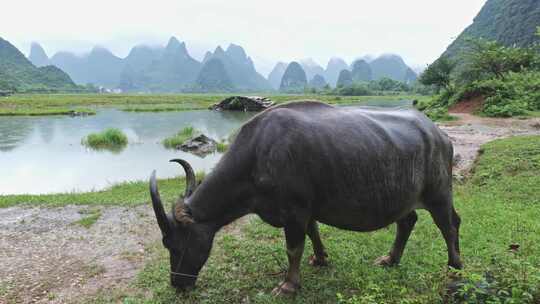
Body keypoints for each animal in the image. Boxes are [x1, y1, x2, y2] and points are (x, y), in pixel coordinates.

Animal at [150, 100, 462, 294]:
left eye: (174, 244)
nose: (178, 284)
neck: (258, 155)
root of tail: (439, 134)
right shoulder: (305, 209)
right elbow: (313, 233)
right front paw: (321, 258)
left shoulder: (294, 211)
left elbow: (293, 248)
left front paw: (289, 285)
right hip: (403, 197)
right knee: (407, 221)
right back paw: (390, 259)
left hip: (439, 193)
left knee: (449, 225)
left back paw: (455, 272)